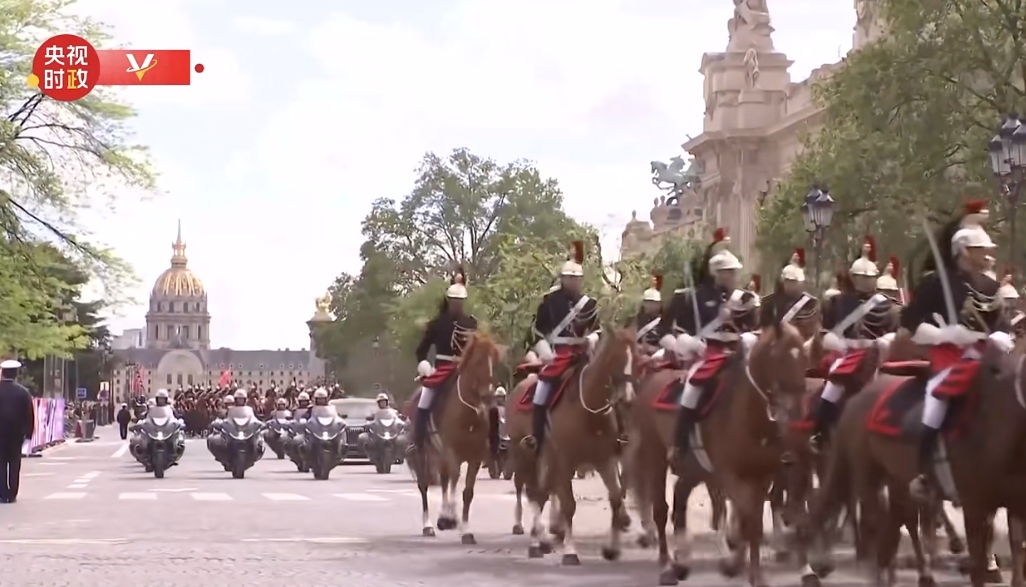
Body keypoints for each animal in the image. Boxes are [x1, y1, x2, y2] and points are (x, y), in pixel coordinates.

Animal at [403, 331, 503, 544]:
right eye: (478, 361)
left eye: (494, 361)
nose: (487, 397)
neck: (469, 414)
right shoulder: (451, 452)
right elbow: (455, 480)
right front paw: (448, 519)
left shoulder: (475, 457)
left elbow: (467, 491)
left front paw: (466, 530)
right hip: (423, 454)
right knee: (425, 485)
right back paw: (429, 526)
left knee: (443, 481)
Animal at [506, 327, 637, 565]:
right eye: (616, 358)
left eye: (636, 357)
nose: (627, 399)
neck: (589, 413)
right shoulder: (565, 462)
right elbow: (569, 506)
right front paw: (570, 552)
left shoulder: (604, 461)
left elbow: (615, 499)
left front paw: (612, 549)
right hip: (523, 455)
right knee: (530, 491)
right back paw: (533, 540)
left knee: (540, 494)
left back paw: (542, 540)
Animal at [628, 319, 810, 586]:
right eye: (778, 355)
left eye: (804, 356)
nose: (796, 411)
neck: (748, 416)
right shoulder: (730, 476)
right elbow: (747, 519)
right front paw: (742, 568)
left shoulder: (762, 477)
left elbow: (752, 522)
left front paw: (744, 567)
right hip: (655, 457)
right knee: (661, 510)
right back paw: (666, 567)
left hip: (694, 470)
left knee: (680, 499)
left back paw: (682, 562)